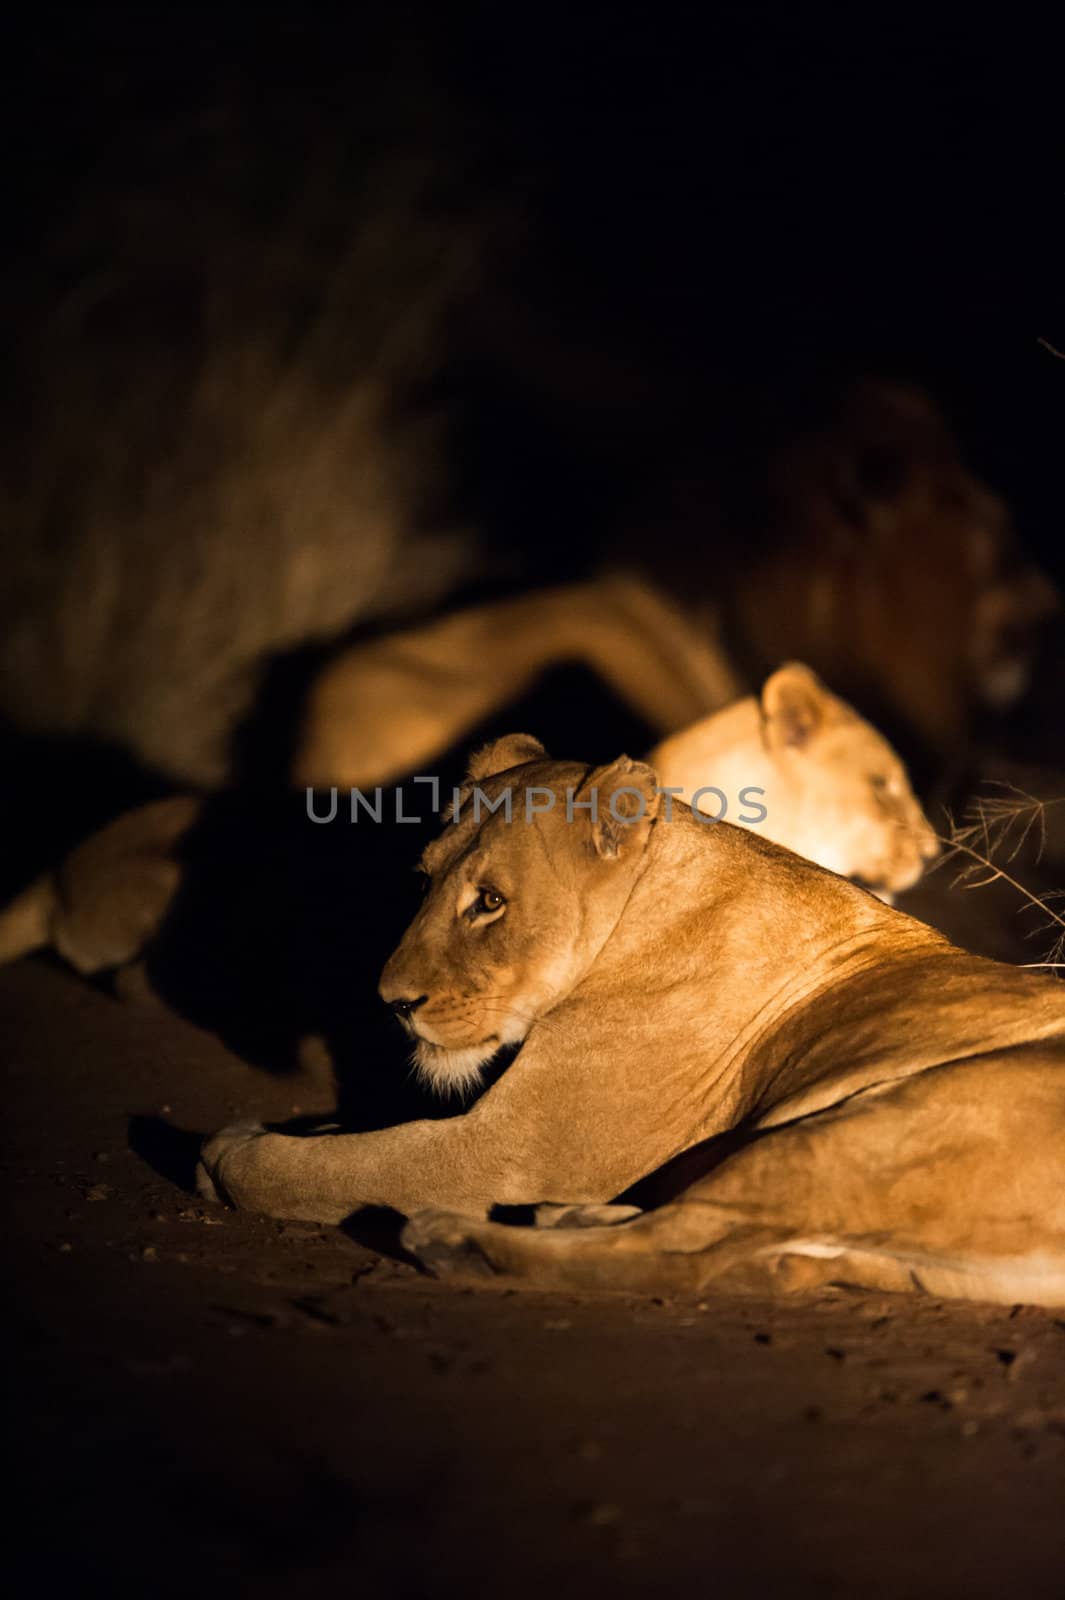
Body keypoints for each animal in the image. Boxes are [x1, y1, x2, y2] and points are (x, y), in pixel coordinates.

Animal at [196, 736, 1061, 1312]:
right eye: (423, 881)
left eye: (490, 901)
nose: (391, 1002)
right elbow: (348, 1134)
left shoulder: (509, 1149)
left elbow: (339, 1168)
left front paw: (234, 1152)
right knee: (750, 1249)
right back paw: (571, 1219)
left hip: (862, 1127)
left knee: (682, 1252)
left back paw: (459, 1243)